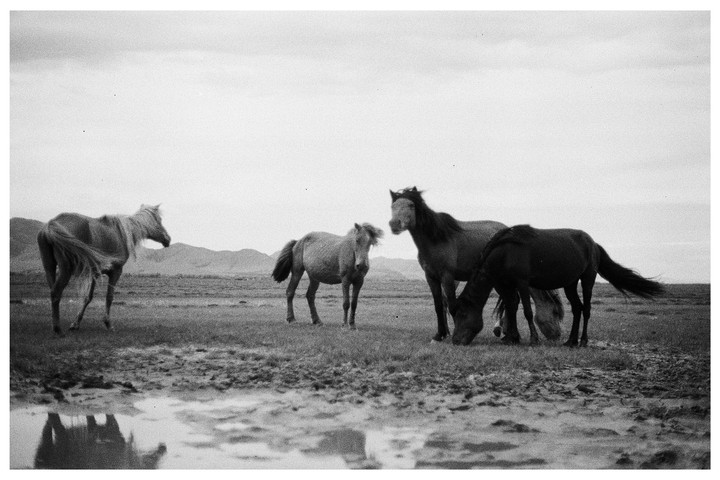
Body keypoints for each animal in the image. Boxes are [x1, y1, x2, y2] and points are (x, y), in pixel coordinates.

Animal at [37, 204, 171, 335]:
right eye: (159, 220)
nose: (168, 239)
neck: (122, 233)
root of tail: (50, 225)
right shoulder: (116, 272)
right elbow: (109, 297)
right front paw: (108, 323)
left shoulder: (95, 273)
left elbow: (88, 297)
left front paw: (76, 324)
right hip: (65, 270)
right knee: (56, 293)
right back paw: (58, 330)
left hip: (49, 267)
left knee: (53, 292)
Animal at [388, 187, 563, 343]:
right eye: (393, 206)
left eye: (411, 205)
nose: (394, 224)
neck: (436, 239)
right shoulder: (431, 277)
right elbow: (439, 306)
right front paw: (439, 335)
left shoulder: (447, 276)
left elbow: (452, 305)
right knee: (510, 301)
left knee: (511, 301)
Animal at [451, 225, 665, 346]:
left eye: (462, 314)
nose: (455, 341)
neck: (505, 252)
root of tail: (593, 243)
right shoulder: (506, 284)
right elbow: (511, 308)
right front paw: (512, 337)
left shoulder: (522, 282)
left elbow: (527, 311)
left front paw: (533, 339)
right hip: (570, 284)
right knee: (577, 308)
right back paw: (570, 341)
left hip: (587, 280)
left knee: (586, 309)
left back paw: (583, 341)